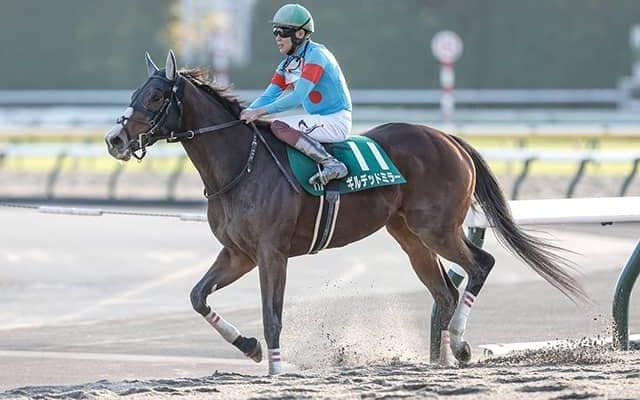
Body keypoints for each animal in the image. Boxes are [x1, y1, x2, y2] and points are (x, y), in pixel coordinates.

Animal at [105, 51, 587, 375]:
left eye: (154, 97)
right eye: (135, 93)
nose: (114, 140)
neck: (240, 162)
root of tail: (448, 138)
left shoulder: (271, 253)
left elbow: (272, 317)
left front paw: (276, 369)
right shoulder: (238, 253)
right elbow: (198, 296)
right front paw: (249, 347)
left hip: (437, 228)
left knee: (480, 265)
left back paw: (463, 345)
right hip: (410, 236)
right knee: (446, 291)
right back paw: (445, 358)